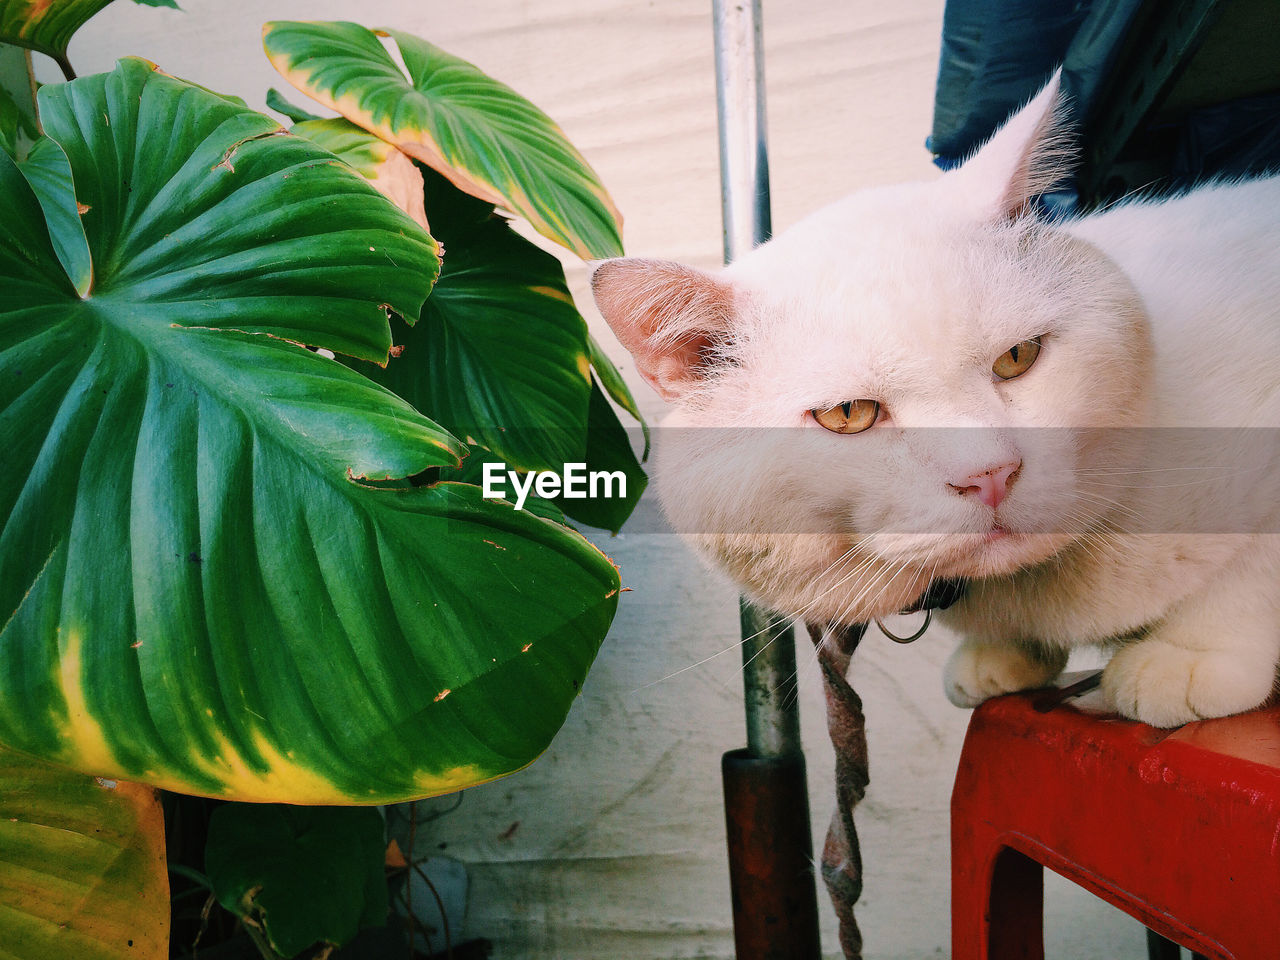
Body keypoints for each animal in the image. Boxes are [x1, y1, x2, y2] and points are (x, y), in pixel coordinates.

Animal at [588, 79, 1280, 727]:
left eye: (1018, 357)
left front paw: (1192, 655)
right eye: (849, 415)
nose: (990, 476)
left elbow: (1249, 573)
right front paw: (1004, 657)